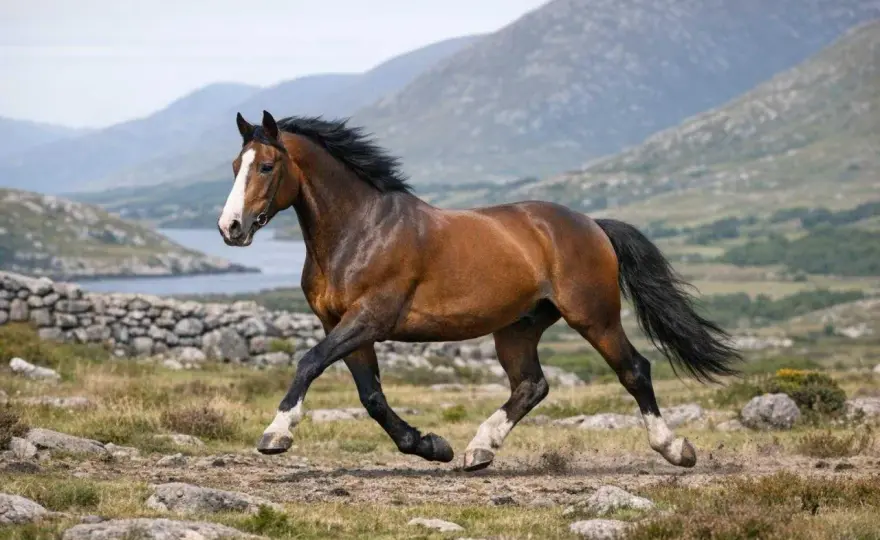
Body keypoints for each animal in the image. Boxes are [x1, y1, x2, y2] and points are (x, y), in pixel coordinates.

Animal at [217, 110, 741, 471]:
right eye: (235, 164)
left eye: (267, 166)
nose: (230, 227)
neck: (361, 230)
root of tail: (592, 224)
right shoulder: (342, 324)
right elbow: (371, 396)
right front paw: (430, 446)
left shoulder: (369, 319)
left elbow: (309, 362)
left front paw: (276, 433)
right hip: (518, 327)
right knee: (532, 385)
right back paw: (478, 449)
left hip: (594, 316)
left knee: (634, 370)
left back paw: (675, 449)